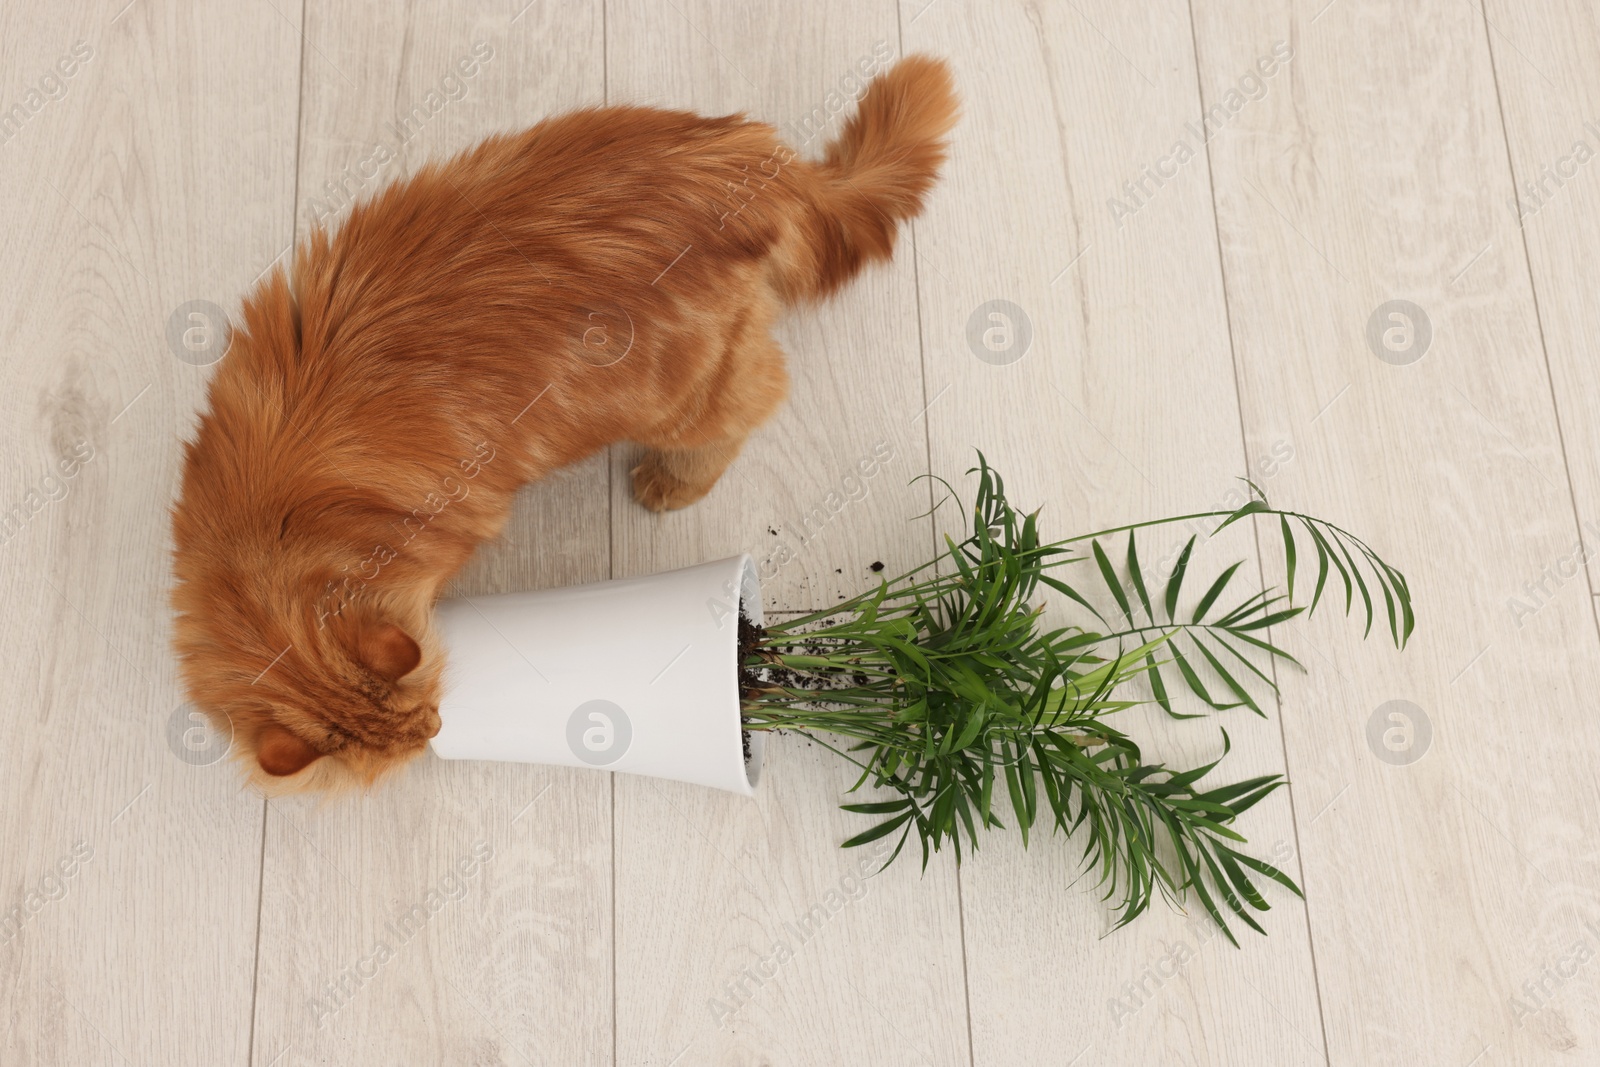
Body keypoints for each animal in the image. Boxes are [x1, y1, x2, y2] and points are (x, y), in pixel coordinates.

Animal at [170, 58, 953, 793]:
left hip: (689, 393)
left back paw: (669, 483)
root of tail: (756, 162)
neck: (272, 533)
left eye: (425, 721)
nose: (435, 729)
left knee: (758, 399)